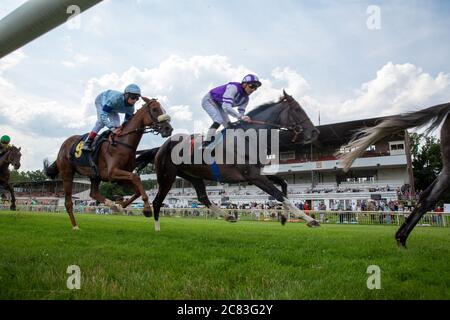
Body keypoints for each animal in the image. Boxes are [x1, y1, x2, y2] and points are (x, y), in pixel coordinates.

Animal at [44, 99, 173, 229]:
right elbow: (136, 177)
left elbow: (137, 189)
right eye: (155, 109)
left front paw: (121, 204)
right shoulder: (112, 173)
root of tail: (63, 146)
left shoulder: (119, 177)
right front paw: (146, 209)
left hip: (94, 175)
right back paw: (75, 226)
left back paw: (113, 205)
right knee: (68, 202)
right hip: (67, 173)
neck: (123, 143)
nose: (168, 129)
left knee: (93, 193)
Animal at [135, 91, 322, 231]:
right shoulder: (253, 176)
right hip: (167, 176)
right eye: (297, 109)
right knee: (157, 201)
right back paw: (157, 229)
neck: (249, 138)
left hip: (193, 175)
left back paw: (228, 215)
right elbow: (279, 194)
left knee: (203, 198)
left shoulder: (255, 174)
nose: (314, 132)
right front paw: (310, 220)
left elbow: (283, 185)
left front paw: (283, 216)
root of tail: (161, 147)